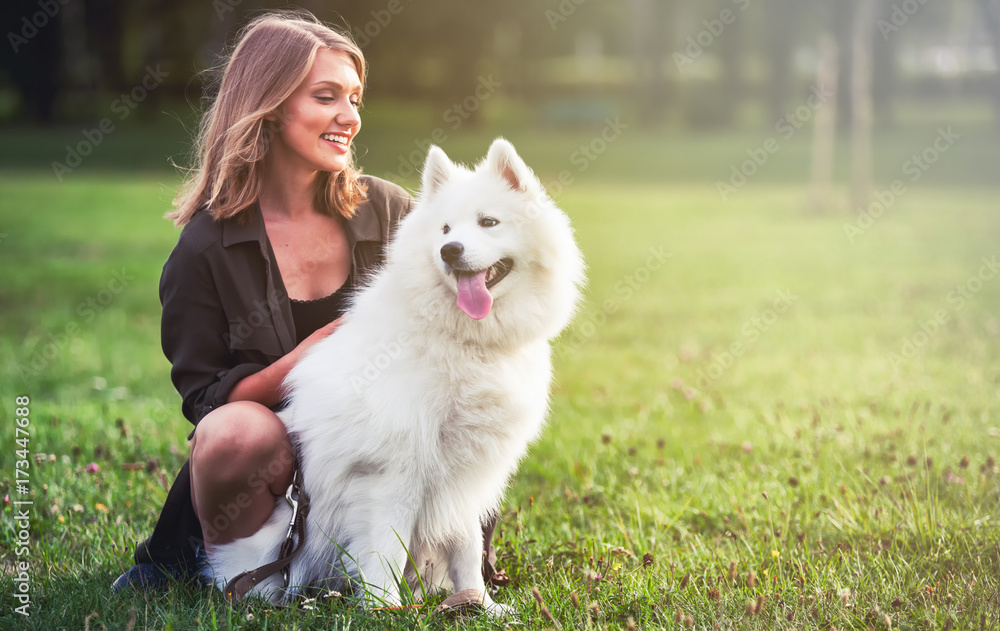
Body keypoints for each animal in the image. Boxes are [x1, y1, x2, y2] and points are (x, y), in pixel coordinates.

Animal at [207, 137, 588, 612]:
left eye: (489, 222)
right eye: (445, 230)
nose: (450, 250)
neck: (465, 340)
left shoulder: (465, 475)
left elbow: (466, 548)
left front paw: (477, 603)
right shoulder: (395, 469)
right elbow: (388, 545)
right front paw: (385, 606)